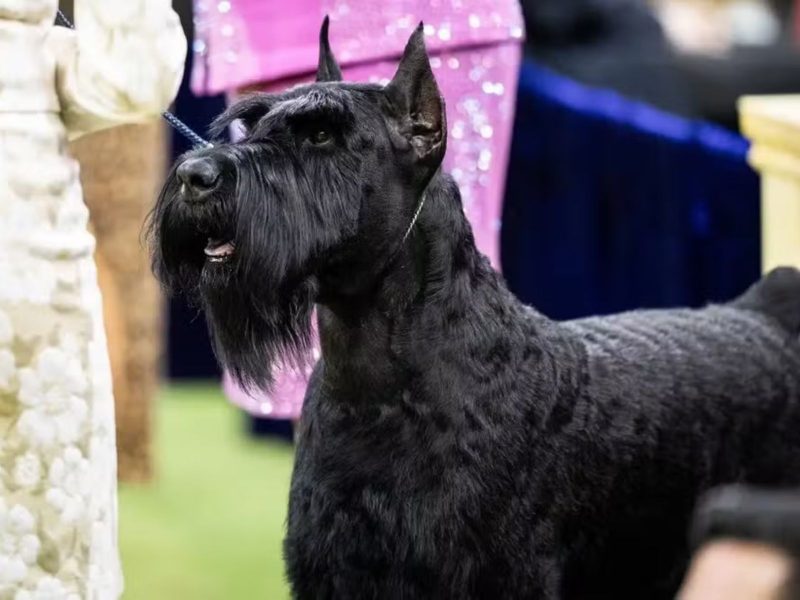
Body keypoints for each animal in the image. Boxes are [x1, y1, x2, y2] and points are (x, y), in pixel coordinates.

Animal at [150, 18, 800, 600]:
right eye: (252, 121)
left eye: (322, 136)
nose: (194, 175)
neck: (377, 382)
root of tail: (768, 314)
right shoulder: (334, 568)